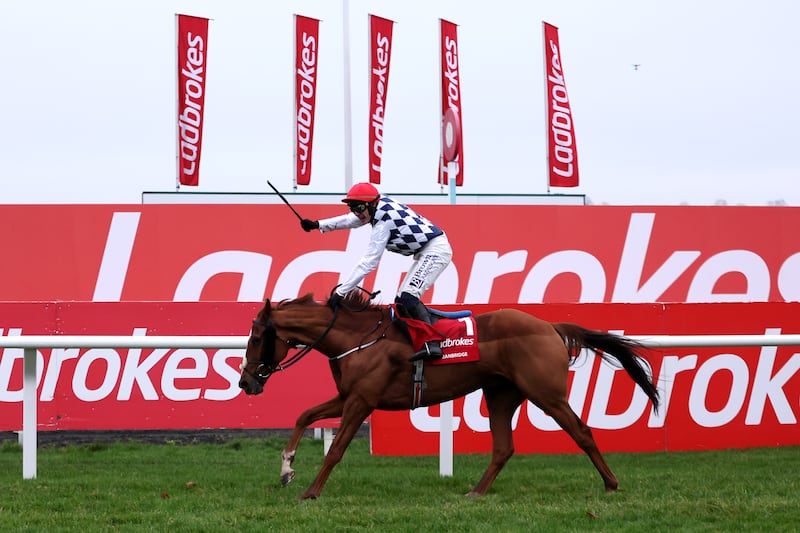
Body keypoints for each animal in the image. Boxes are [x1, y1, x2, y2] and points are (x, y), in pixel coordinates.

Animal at [241, 290, 660, 498]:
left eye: (258, 338)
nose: (246, 382)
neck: (355, 338)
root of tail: (550, 326)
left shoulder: (362, 401)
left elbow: (337, 449)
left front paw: (311, 492)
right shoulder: (349, 395)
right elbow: (304, 416)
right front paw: (287, 470)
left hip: (546, 392)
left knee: (582, 431)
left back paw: (611, 484)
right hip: (501, 394)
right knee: (504, 447)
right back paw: (476, 492)